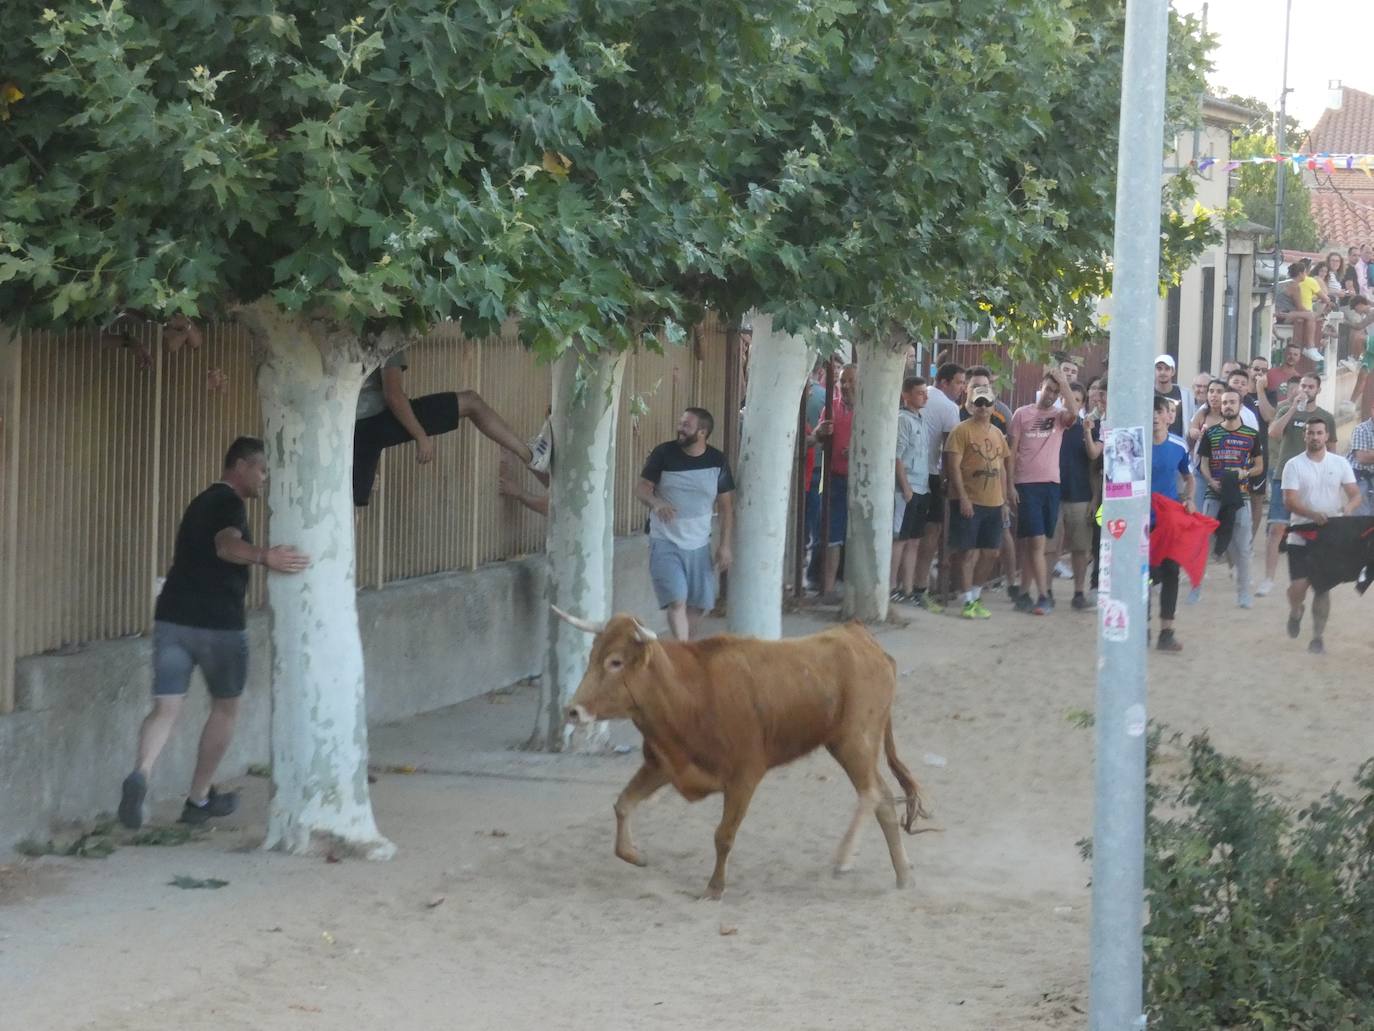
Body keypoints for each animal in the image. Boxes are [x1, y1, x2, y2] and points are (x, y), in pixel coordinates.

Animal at [557, 610, 934, 901]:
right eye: (592, 656)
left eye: (615, 662)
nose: (572, 711)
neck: (690, 693)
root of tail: (861, 637)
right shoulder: (661, 765)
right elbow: (623, 804)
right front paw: (635, 855)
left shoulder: (744, 776)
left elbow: (723, 835)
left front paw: (714, 887)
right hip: (854, 744)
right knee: (884, 798)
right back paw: (904, 876)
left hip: (854, 740)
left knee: (871, 793)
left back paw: (844, 858)